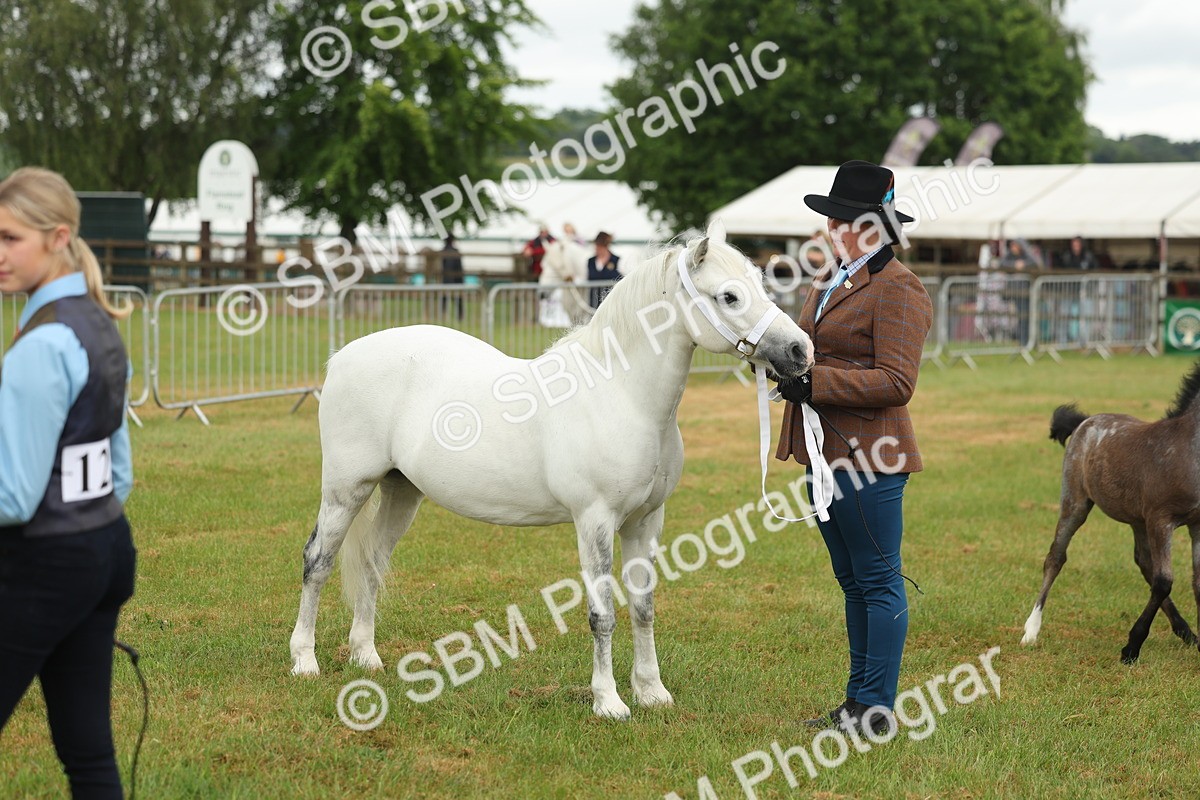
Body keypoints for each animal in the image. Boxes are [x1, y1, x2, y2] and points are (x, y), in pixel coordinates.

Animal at [288, 220, 814, 719]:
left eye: (762, 283)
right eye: (729, 295)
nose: (800, 351)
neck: (620, 394)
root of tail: (343, 357)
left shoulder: (646, 521)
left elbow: (643, 607)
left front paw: (652, 693)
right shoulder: (595, 521)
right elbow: (602, 614)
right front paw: (609, 702)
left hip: (401, 492)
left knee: (372, 562)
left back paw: (366, 657)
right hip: (346, 490)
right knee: (318, 561)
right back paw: (304, 661)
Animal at [1021, 360, 1200, 663]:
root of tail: (1084, 421)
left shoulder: (1197, 525)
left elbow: (1195, 581)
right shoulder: (1161, 520)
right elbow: (1164, 581)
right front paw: (1131, 648)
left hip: (1138, 518)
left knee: (1144, 562)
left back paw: (1186, 632)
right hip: (1075, 503)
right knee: (1055, 557)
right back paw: (1031, 631)